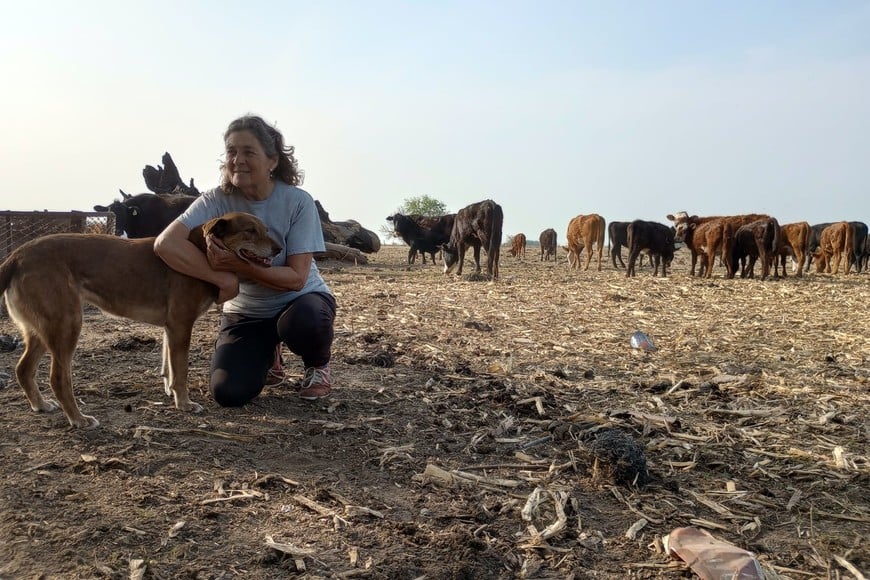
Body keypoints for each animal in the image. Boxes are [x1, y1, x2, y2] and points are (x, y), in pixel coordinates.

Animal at [0, 212, 280, 426]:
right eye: (250, 231)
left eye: (265, 229)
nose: (278, 249)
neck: (201, 254)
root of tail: (18, 255)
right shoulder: (181, 325)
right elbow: (181, 371)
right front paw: (185, 404)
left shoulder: (171, 328)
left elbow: (170, 368)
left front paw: (172, 394)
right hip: (66, 325)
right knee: (58, 378)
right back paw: (79, 419)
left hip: (43, 329)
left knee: (23, 369)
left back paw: (40, 405)